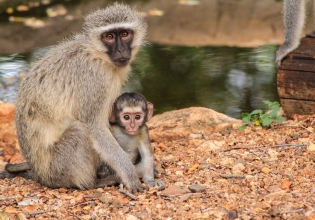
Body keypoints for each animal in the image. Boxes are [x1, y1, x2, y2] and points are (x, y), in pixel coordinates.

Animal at [12, 3, 148, 192]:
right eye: (109, 37)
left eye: (125, 34)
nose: (121, 50)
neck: (97, 55)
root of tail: (40, 175)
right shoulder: (95, 79)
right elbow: (95, 128)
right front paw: (130, 176)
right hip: (58, 169)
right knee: (79, 131)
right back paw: (90, 183)